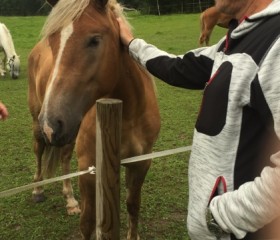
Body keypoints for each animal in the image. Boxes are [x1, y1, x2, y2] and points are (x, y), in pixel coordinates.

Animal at [27, 0, 160, 240]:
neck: (126, 115)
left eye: (94, 40)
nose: (50, 124)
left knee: (64, 157)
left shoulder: (141, 162)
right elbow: (87, 221)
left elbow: (133, 205)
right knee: (39, 150)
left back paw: (70, 200)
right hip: (38, 122)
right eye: (53, 41)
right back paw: (38, 189)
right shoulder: (89, 167)